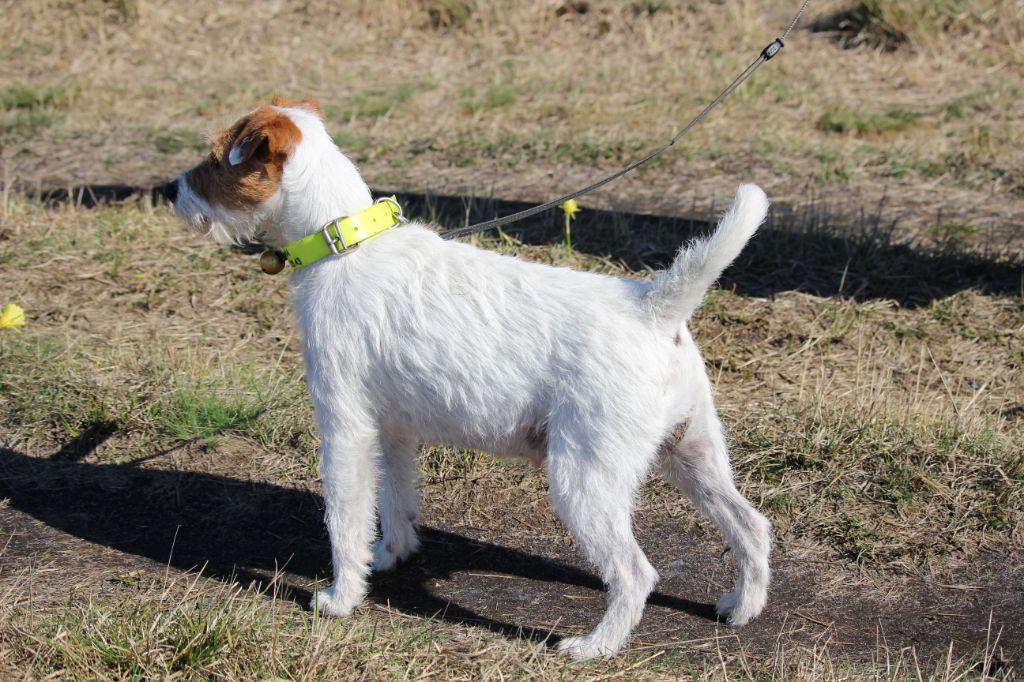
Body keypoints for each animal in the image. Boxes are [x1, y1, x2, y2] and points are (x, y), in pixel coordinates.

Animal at [172, 98, 770, 655]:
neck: (344, 243)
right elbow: (394, 501)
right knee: (751, 526)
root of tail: (655, 308)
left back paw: (594, 646)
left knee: (636, 573)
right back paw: (743, 607)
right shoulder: (390, 430)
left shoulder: (344, 427)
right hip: (693, 453)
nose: (172, 190)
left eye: (216, 157)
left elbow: (344, 519)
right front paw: (389, 556)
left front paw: (341, 598)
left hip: (585, 479)